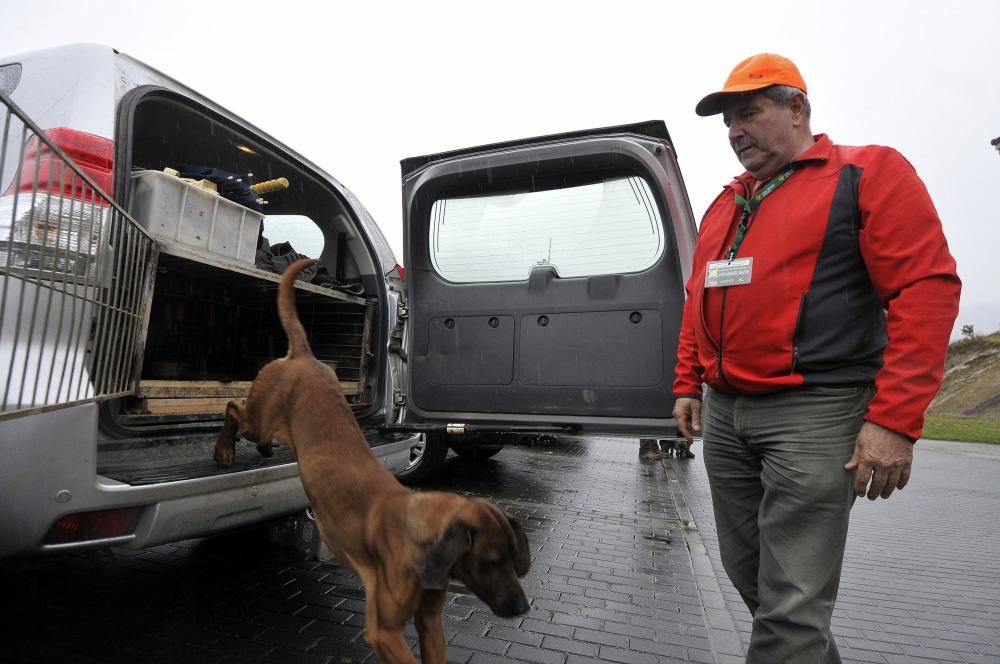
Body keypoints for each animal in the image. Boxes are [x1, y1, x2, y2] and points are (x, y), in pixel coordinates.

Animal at [212, 260, 532, 664]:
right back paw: (224, 450)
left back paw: (265, 450)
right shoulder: (385, 631)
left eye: (512, 557)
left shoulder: (430, 623)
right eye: (490, 561)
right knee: (233, 408)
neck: (418, 534)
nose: (523, 608)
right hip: (261, 416)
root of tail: (304, 356)